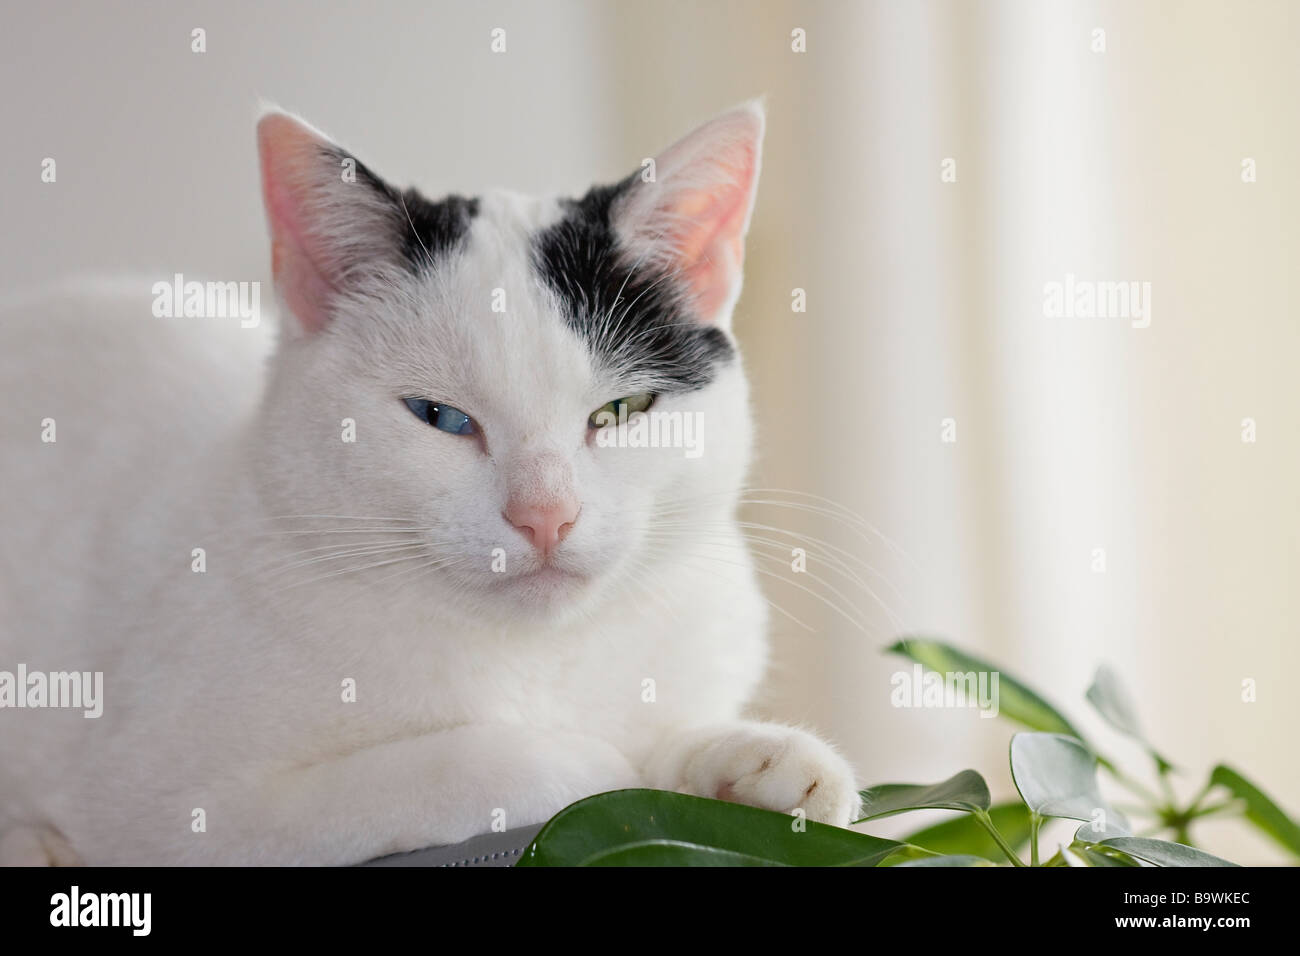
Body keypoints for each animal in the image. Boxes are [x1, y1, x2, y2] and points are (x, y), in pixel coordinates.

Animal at [0, 102, 863, 868]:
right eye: (441, 417)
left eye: (620, 411)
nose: (546, 516)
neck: (534, 656)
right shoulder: (168, 804)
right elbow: (446, 768)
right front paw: (586, 764)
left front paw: (749, 759)